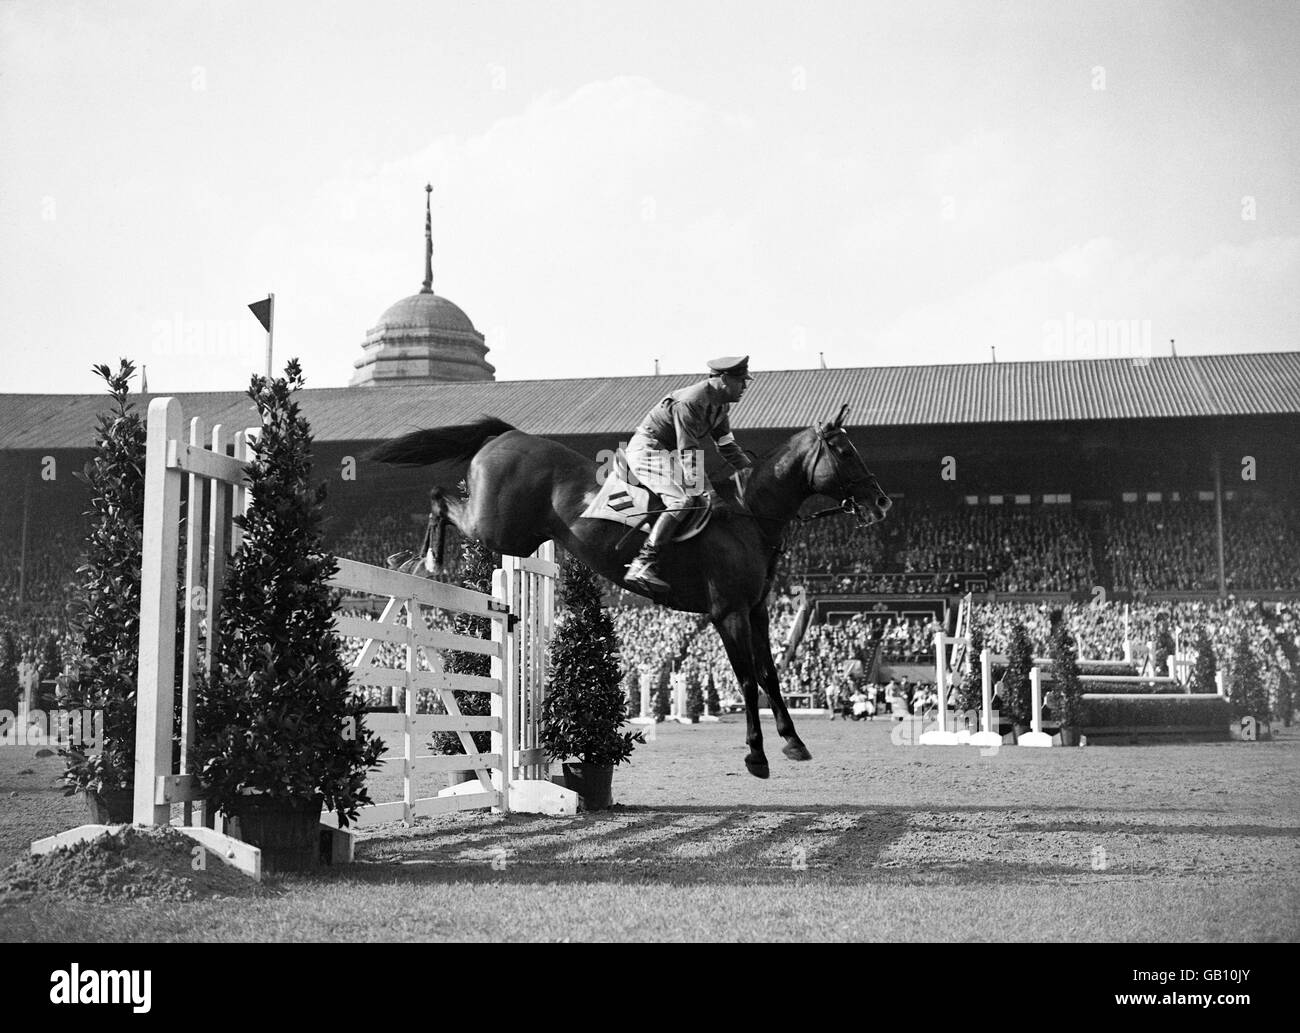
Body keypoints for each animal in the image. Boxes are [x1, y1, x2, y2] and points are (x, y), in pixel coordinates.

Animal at [371, 402, 889, 774]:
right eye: (845, 452)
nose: (881, 502)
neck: (748, 516)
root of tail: (507, 434)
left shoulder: (757, 610)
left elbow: (769, 676)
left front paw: (793, 741)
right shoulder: (728, 613)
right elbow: (745, 678)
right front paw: (756, 755)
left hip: (513, 535)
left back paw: (414, 559)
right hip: (496, 529)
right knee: (439, 499)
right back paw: (423, 560)